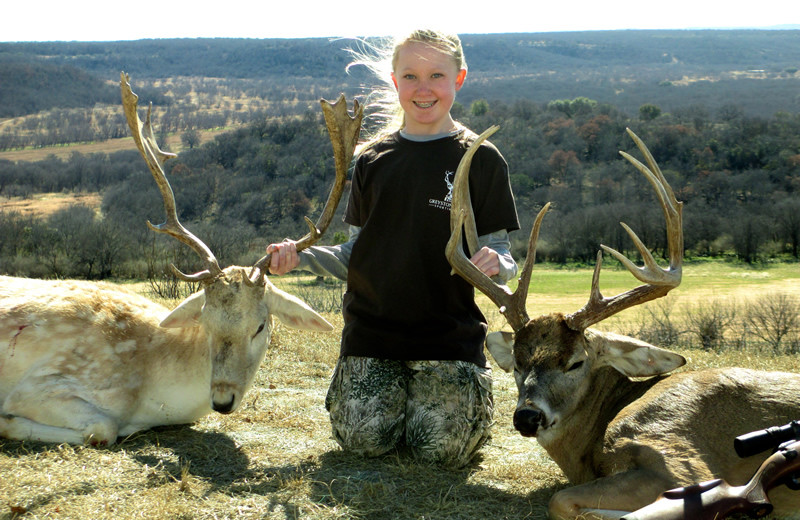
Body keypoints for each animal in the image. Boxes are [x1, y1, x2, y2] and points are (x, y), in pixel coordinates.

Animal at [0, 73, 362, 446]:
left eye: (261, 326)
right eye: (205, 320)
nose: (222, 400)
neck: (149, 395)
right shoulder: (39, 384)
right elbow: (103, 428)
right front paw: (7, 422)